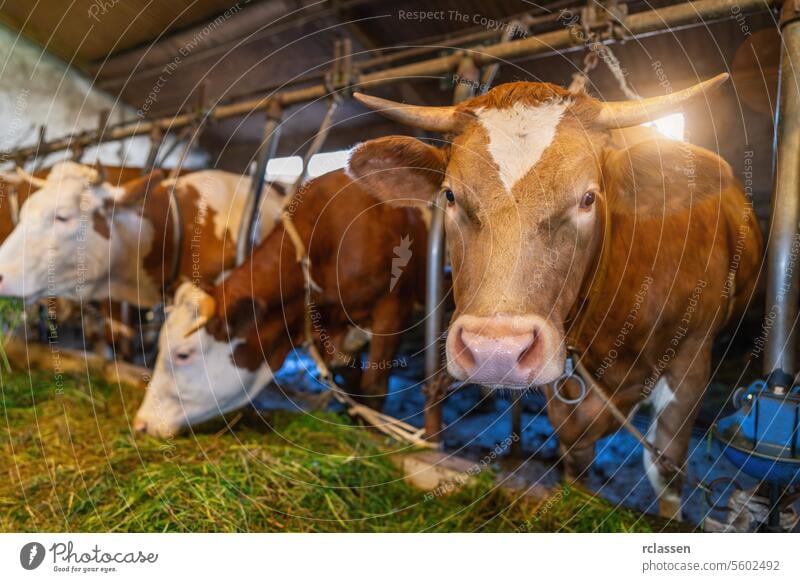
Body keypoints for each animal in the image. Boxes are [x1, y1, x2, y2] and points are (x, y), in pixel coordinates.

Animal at [348, 74, 764, 520]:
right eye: (450, 196)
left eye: (588, 198)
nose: (496, 350)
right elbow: (575, 453)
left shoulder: (691, 356)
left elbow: (666, 470)